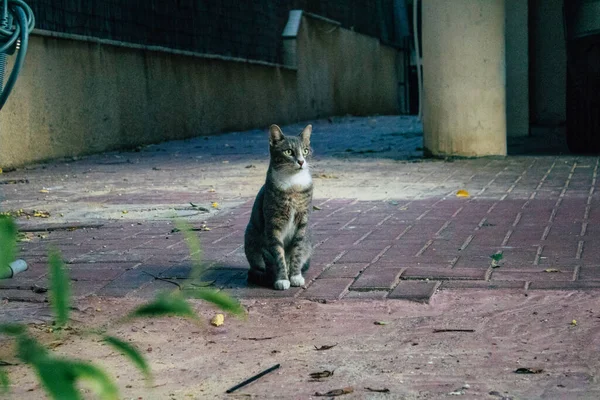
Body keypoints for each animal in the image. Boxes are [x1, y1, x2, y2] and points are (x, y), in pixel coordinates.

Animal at [244, 123, 314, 290]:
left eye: (305, 151)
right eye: (288, 151)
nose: (301, 162)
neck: (293, 183)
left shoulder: (302, 222)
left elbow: (296, 251)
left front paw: (295, 276)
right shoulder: (273, 224)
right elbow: (278, 254)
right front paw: (282, 279)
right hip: (251, 238)